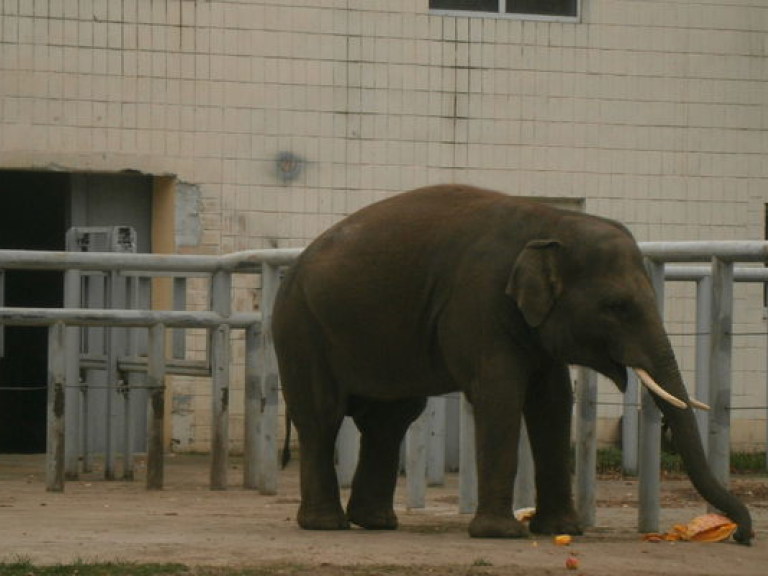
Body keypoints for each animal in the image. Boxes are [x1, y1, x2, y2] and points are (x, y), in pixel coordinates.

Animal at [272, 184, 752, 544]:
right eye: (616, 307)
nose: (742, 535)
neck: (550, 225)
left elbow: (553, 402)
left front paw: (562, 530)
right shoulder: (479, 300)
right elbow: (500, 394)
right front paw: (500, 534)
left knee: (389, 421)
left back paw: (376, 523)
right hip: (301, 329)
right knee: (323, 416)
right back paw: (326, 525)